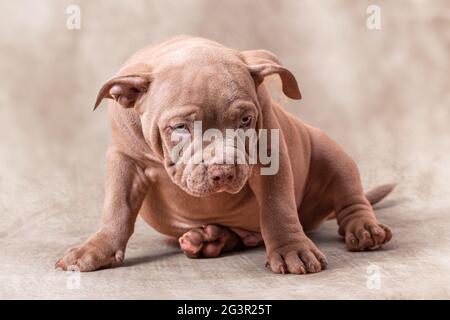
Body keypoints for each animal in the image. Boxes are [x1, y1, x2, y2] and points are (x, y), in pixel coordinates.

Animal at [56, 35, 394, 276]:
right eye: (179, 127)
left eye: (245, 120)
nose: (224, 172)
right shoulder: (124, 159)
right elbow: (116, 208)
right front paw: (95, 249)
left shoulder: (270, 154)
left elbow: (278, 206)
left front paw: (292, 250)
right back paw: (208, 240)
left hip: (330, 153)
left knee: (351, 197)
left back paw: (365, 230)